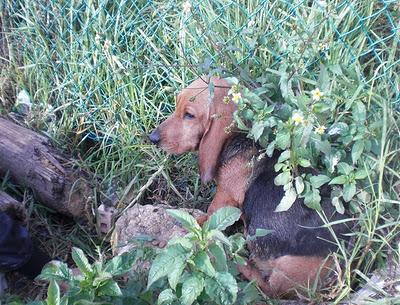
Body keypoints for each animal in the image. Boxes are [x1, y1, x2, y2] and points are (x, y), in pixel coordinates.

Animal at [149, 76, 350, 296]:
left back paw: (239, 260)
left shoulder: (224, 197)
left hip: (285, 271)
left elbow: (204, 221)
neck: (239, 138)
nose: (152, 138)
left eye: (189, 115)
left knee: (267, 287)